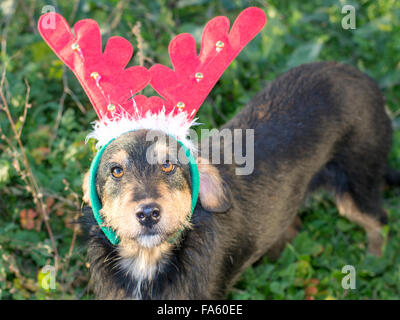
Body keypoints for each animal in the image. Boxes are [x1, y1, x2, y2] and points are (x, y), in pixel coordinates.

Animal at [79, 60, 398, 300]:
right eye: (116, 171)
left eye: (168, 165)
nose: (148, 214)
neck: (147, 261)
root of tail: (361, 76)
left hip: (359, 184)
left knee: (379, 221)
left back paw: (374, 263)